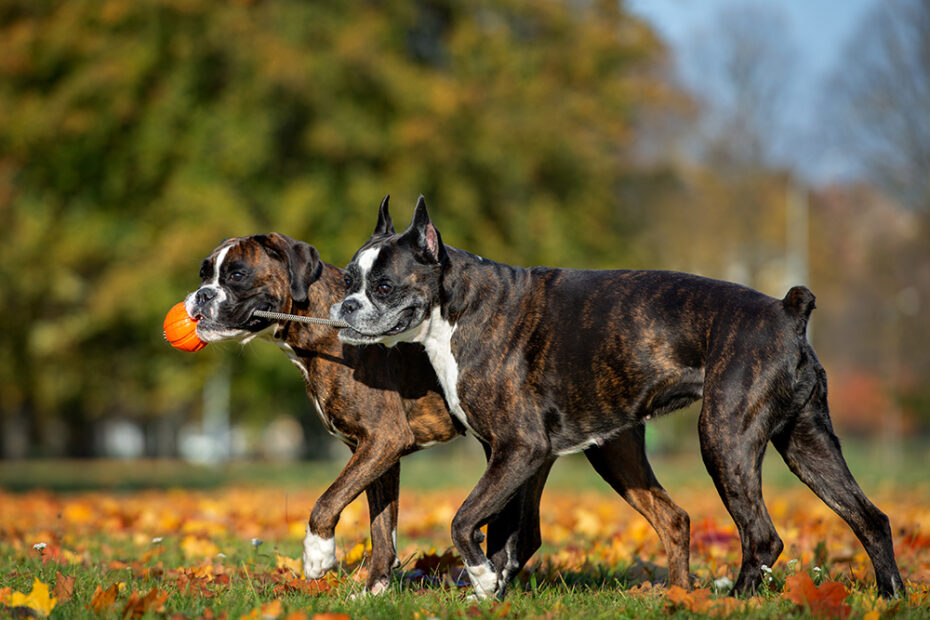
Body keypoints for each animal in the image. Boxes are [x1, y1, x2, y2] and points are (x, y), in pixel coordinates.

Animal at [183, 224, 688, 596]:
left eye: (235, 276)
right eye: (205, 273)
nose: (200, 295)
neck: (324, 321)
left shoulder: (381, 442)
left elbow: (327, 500)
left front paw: (318, 555)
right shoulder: (380, 458)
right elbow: (381, 529)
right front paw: (374, 591)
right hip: (594, 453)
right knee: (661, 519)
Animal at [332, 196, 900, 600]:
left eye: (383, 287)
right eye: (348, 279)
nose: (345, 305)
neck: (458, 303)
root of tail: (786, 311)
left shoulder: (519, 448)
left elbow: (465, 519)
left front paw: (484, 581)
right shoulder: (517, 456)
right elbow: (507, 532)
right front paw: (488, 592)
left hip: (724, 439)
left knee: (761, 536)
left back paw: (735, 600)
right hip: (802, 444)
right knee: (868, 518)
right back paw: (889, 595)